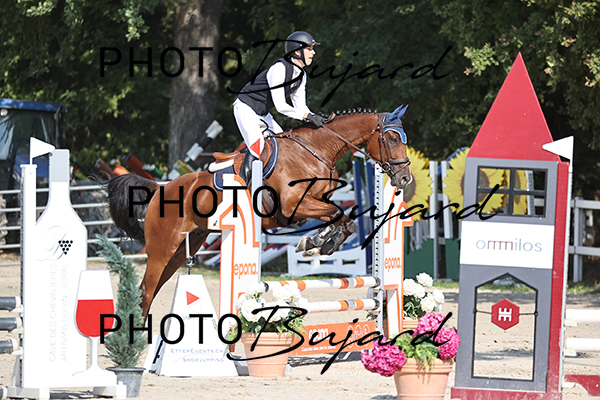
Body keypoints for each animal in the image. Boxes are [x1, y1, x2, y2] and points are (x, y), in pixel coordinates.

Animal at [106, 105, 412, 318]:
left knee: (154, 287)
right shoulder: (292, 207)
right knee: (147, 289)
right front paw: (319, 245)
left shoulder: (312, 204)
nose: (405, 179)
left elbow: (341, 219)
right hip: (163, 246)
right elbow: (339, 216)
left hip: (185, 247)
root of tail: (160, 189)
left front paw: (315, 244)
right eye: (392, 139)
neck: (314, 151)